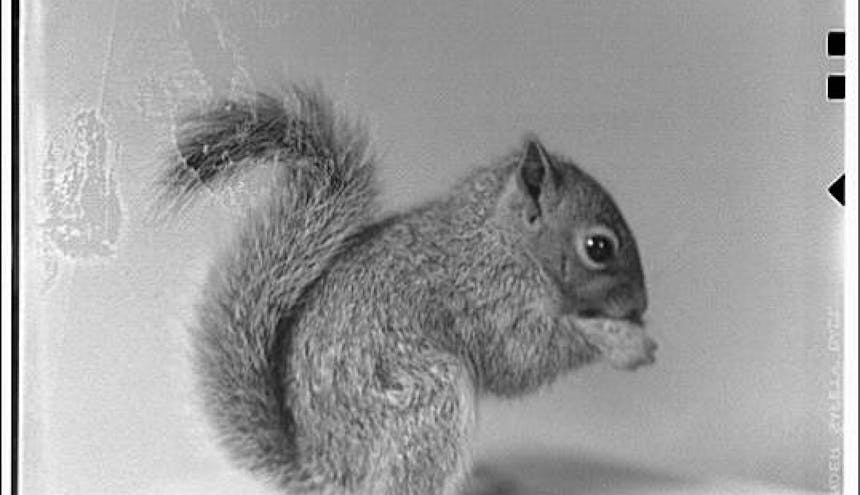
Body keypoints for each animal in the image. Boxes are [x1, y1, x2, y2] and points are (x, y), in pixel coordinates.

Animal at [156, 86, 660, 495]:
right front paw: (623, 341)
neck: (501, 239)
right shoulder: (483, 299)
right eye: (599, 247)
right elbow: (519, 360)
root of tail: (327, 474)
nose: (640, 305)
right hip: (429, 406)